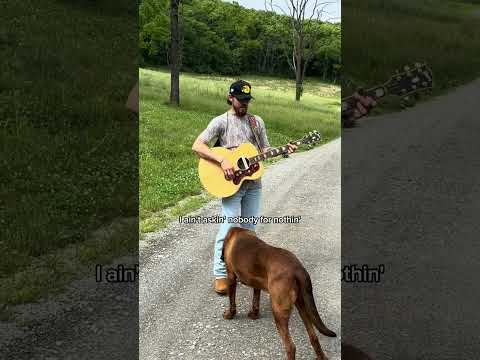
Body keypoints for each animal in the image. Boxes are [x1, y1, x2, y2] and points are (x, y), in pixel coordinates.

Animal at [222, 228, 338, 360]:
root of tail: (297, 269)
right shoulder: (256, 284)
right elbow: (255, 300)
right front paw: (254, 315)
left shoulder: (231, 277)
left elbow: (232, 302)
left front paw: (230, 315)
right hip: (302, 306)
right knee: (313, 337)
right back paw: (321, 356)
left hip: (278, 312)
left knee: (291, 347)